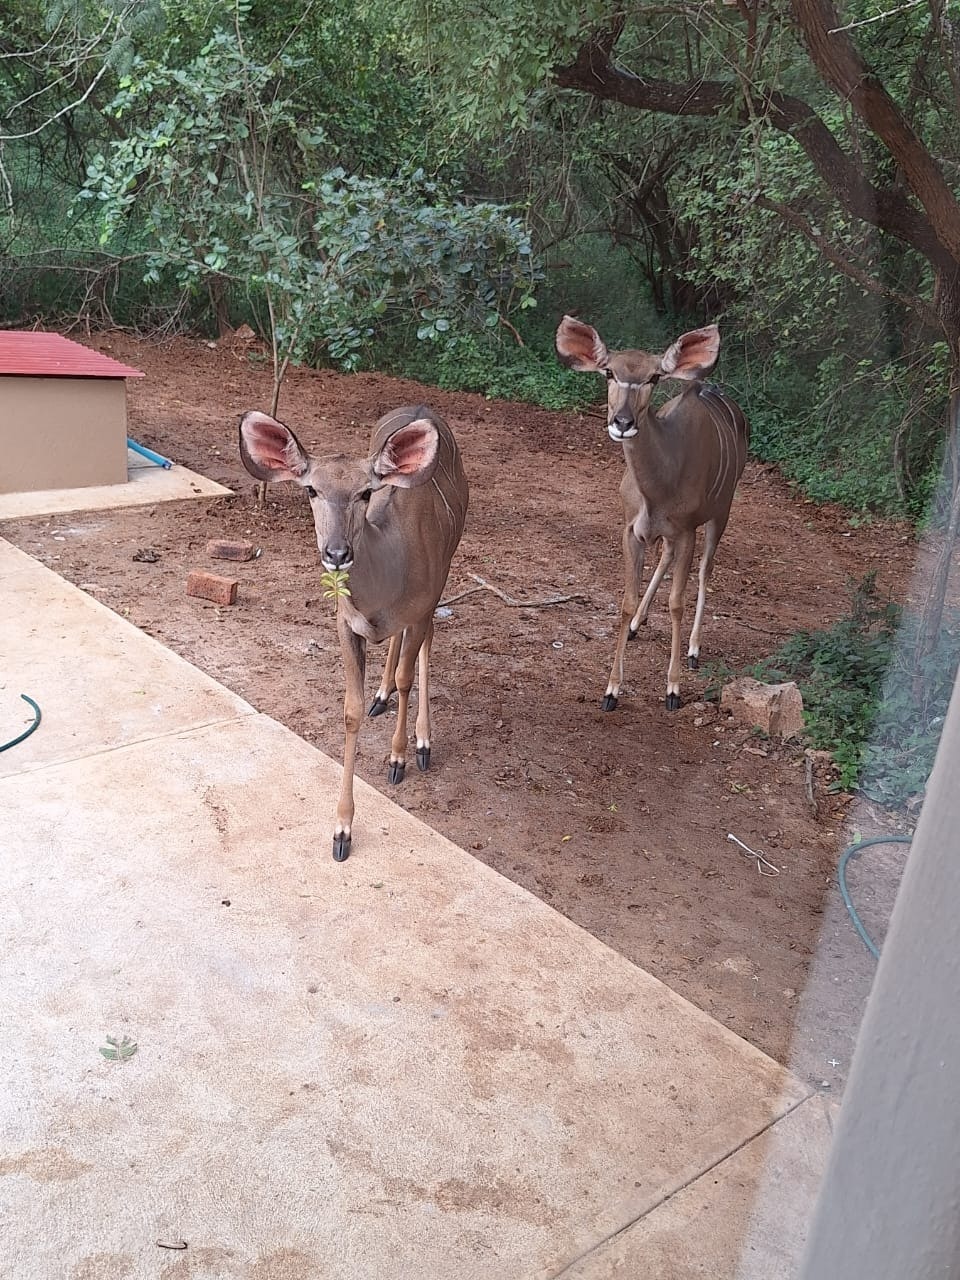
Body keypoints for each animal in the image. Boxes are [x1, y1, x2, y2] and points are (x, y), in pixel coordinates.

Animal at [238, 405, 468, 862]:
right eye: (311, 489)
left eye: (365, 492)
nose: (337, 552)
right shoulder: (346, 624)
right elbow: (351, 710)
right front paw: (341, 829)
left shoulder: (422, 607)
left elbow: (408, 676)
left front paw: (398, 758)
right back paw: (381, 697)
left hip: (445, 574)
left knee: (426, 645)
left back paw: (422, 743)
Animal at [556, 315, 749, 713]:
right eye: (608, 372)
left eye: (654, 377)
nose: (622, 421)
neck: (658, 489)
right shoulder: (632, 530)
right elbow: (626, 602)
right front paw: (611, 690)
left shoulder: (688, 530)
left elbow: (676, 603)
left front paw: (672, 689)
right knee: (666, 558)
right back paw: (638, 626)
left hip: (721, 512)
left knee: (705, 571)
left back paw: (693, 649)